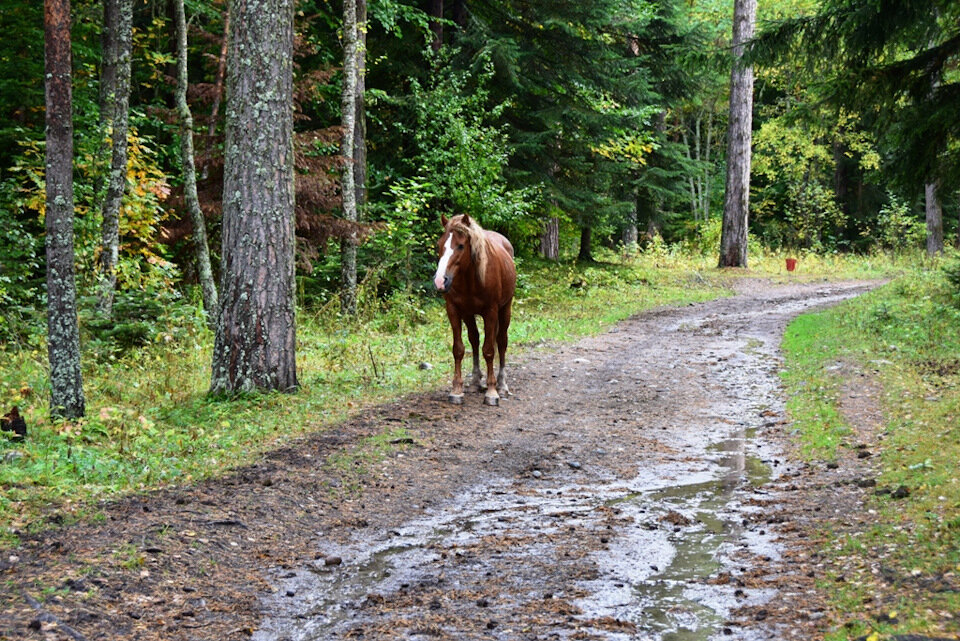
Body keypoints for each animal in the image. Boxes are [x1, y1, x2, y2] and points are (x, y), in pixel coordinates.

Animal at [436, 215, 516, 404]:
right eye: (439, 244)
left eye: (460, 245)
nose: (440, 281)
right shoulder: (454, 311)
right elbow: (458, 349)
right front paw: (457, 389)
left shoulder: (491, 312)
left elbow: (489, 350)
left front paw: (492, 391)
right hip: (469, 314)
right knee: (474, 340)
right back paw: (474, 382)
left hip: (505, 309)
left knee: (501, 342)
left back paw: (502, 385)